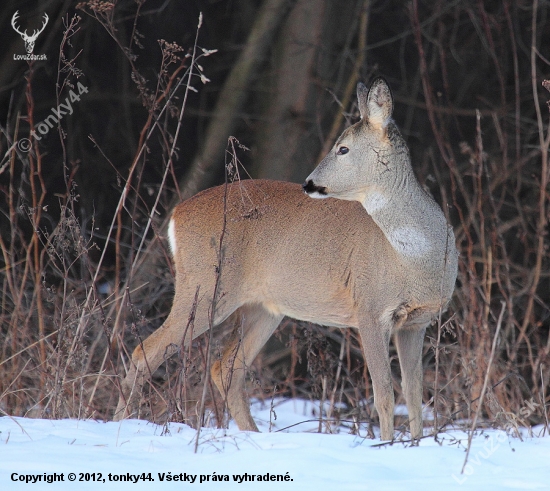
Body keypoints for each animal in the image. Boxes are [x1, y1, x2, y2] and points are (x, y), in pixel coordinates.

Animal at [114, 78, 460, 442]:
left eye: (343, 149)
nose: (308, 183)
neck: (415, 260)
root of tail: (176, 215)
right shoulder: (369, 308)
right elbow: (384, 393)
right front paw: (387, 443)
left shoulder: (418, 321)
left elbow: (414, 393)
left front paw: (417, 443)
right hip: (204, 285)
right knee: (146, 350)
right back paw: (121, 424)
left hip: (263, 307)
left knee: (226, 368)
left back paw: (254, 435)